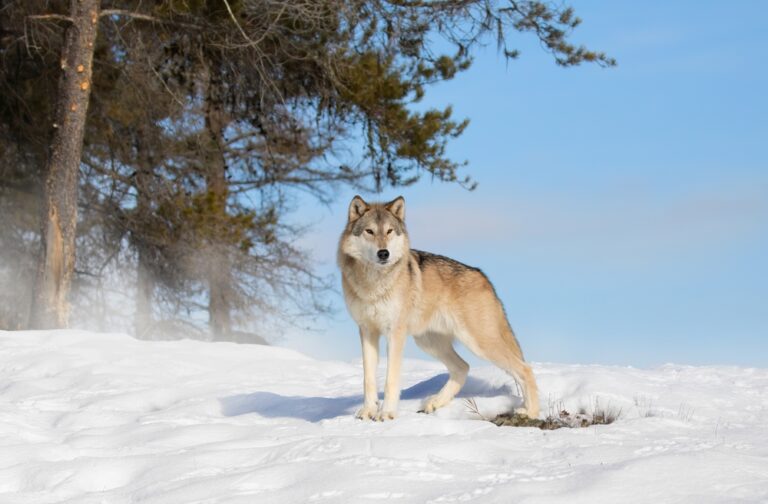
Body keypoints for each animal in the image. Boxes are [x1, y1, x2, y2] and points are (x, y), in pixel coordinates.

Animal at [338, 195, 540, 421]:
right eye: (369, 231)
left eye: (389, 231)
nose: (383, 253)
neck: (373, 283)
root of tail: (483, 277)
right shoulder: (367, 331)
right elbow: (368, 379)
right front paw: (368, 412)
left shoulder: (395, 334)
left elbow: (391, 380)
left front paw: (387, 414)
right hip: (429, 343)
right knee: (463, 367)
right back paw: (434, 403)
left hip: (479, 343)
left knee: (525, 369)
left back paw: (530, 412)